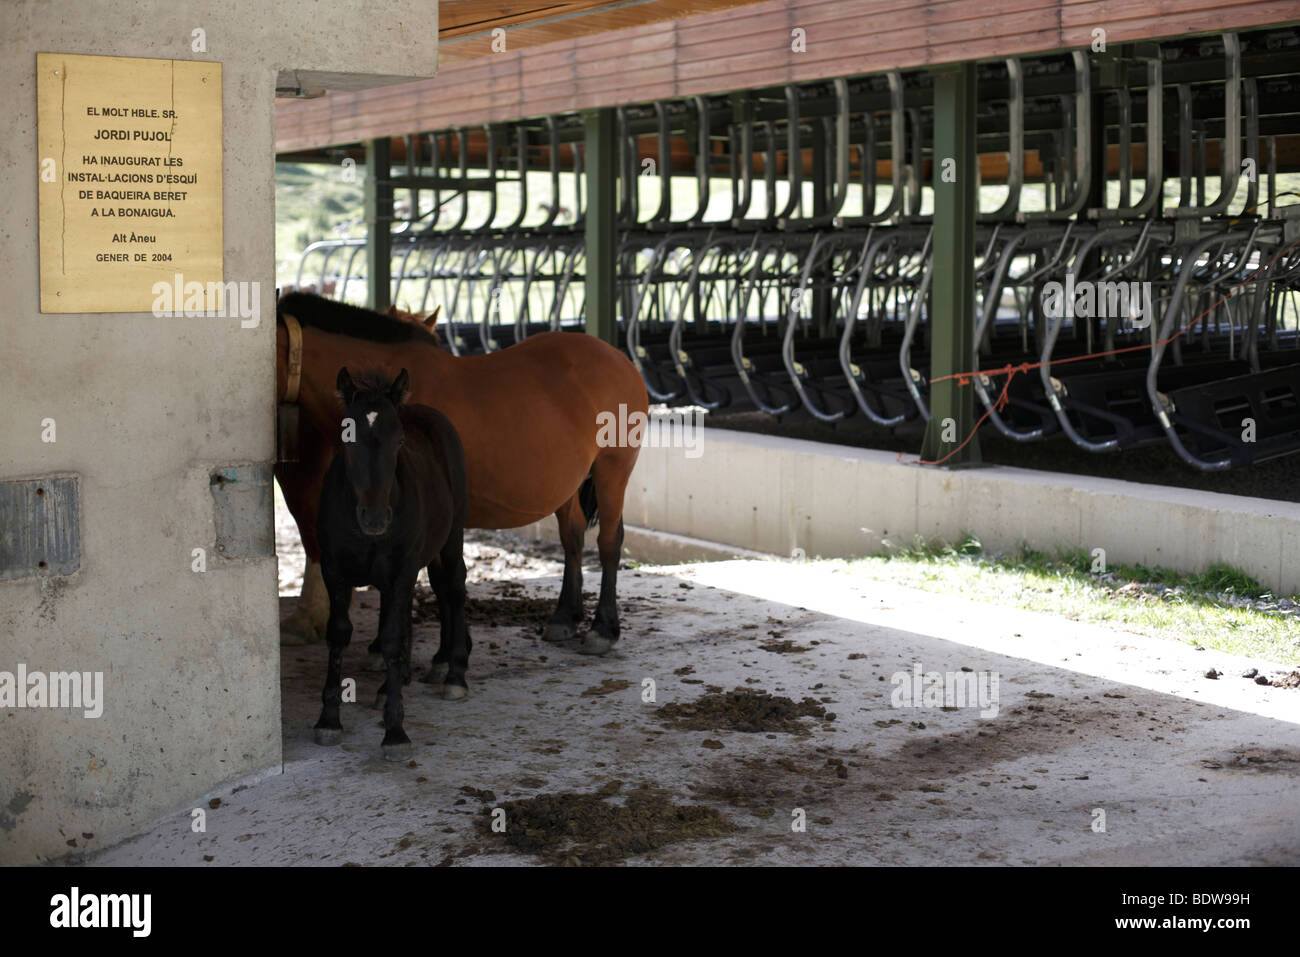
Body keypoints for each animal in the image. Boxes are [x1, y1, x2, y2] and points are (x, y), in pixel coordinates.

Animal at [276, 293, 647, 657]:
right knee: (572, 537)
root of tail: (618, 357)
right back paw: (564, 617)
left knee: (609, 542)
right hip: (566, 483)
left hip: (613, 468)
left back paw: (603, 629)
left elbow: (439, 577)